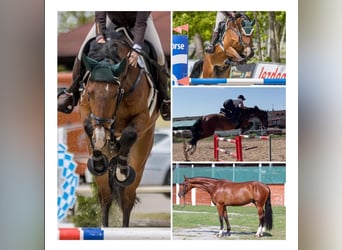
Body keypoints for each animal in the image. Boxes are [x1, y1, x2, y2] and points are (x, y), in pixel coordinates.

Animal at [78, 26, 163, 227]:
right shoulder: (85, 109)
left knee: (127, 199)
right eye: (90, 93)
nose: (102, 136)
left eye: (115, 94)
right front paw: (98, 160)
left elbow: (129, 134)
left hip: (141, 154)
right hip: (102, 180)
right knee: (106, 198)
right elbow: (88, 126)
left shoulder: (142, 117)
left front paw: (122, 170)